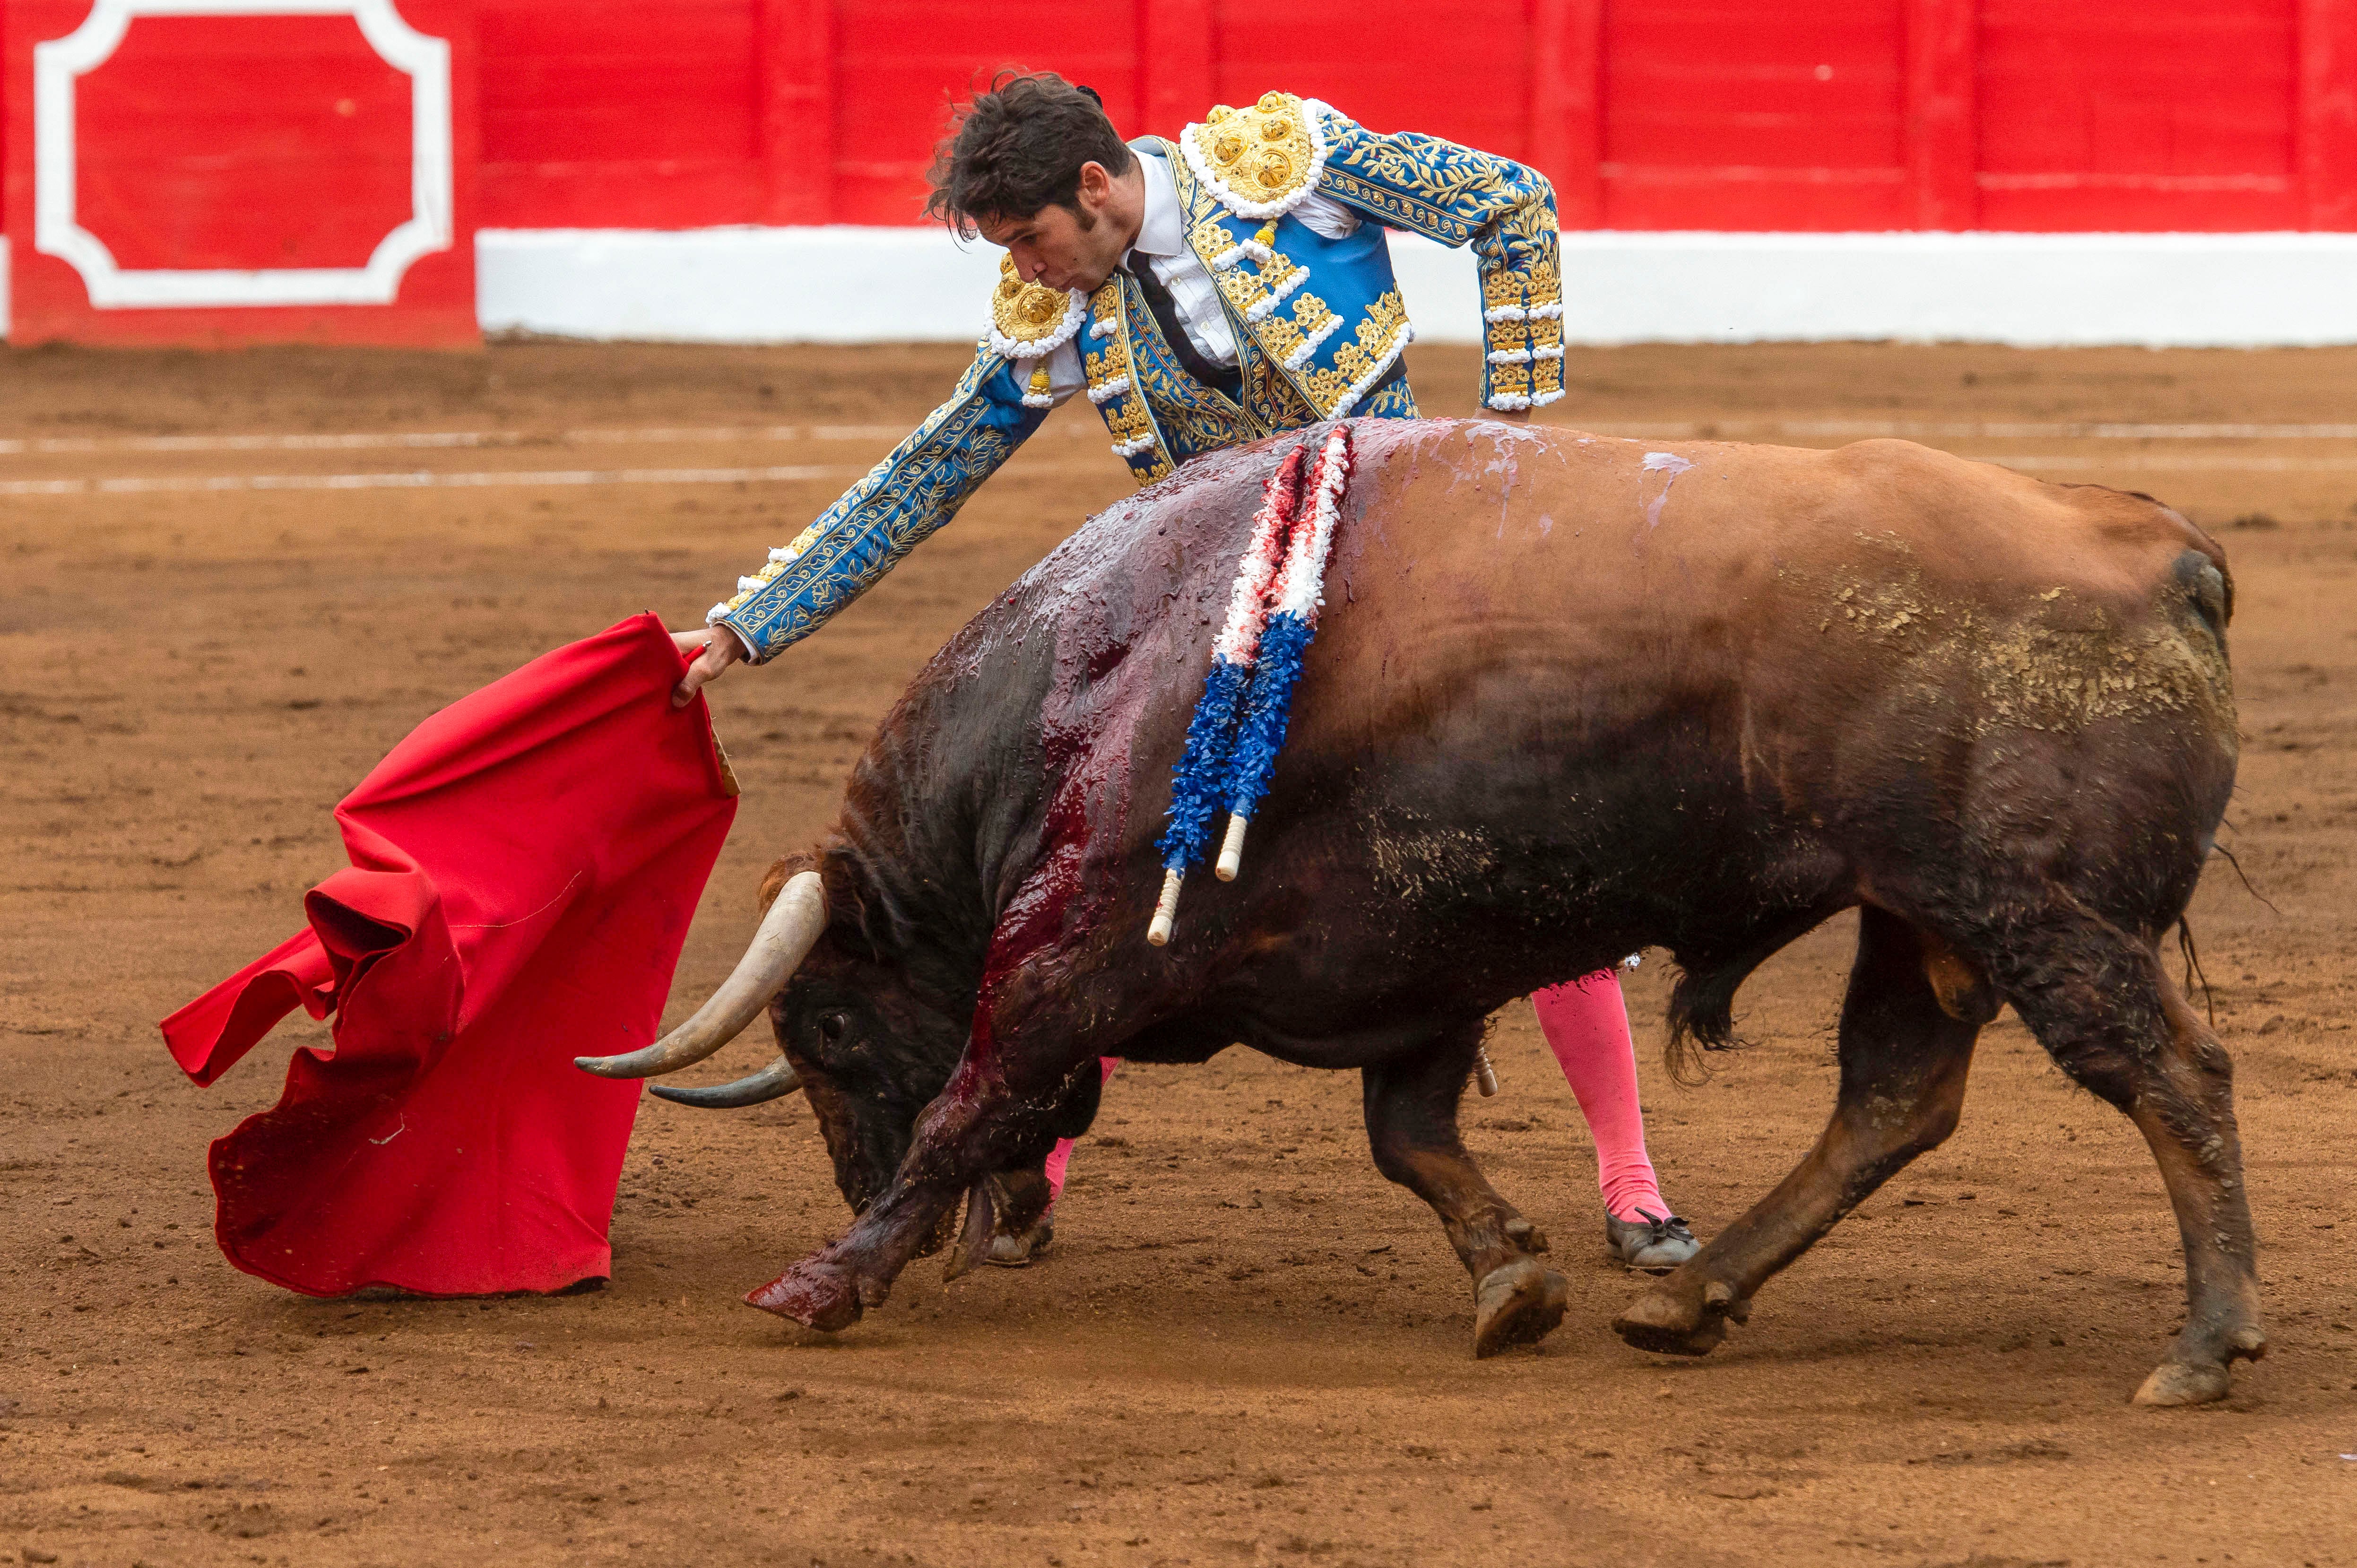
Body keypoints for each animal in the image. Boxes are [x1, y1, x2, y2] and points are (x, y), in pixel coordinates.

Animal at [580, 419, 2253, 1405]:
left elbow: (974, 1095)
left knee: (2167, 1072)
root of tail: (2170, 550)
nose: (869, 1199)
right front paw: (1514, 1274)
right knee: (1897, 1094)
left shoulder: (1077, 945)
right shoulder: (1413, 967)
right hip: (1915, 909)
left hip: (2030, 902)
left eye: (833, 1022)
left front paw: (825, 1275)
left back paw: (2207, 1343)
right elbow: (1410, 1133)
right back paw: (1691, 1299)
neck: (1099, 669)